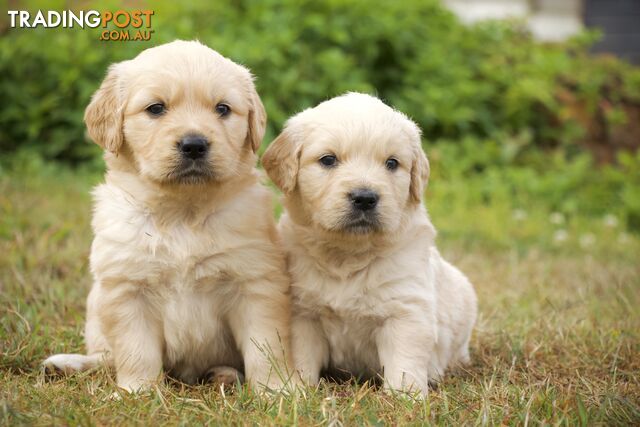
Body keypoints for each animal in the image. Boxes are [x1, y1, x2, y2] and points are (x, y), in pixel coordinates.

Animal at [44, 41, 292, 394]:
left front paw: (275, 391)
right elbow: (135, 351)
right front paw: (138, 392)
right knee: (105, 358)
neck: (181, 214)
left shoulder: (255, 282)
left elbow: (265, 346)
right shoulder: (126, 288)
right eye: (156, 109)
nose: (194, 144)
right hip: (96, 307)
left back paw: (224, 374)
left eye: (223, 109)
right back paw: (67, 364)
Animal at [262, 93, 478, 398]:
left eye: (392, 163)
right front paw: (301, 388)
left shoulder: (406, 311)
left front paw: (405, 397)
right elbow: (302, 357)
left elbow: (404, 361)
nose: (365, 197)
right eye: (328, 160)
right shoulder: (303, 313)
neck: (347, 254)